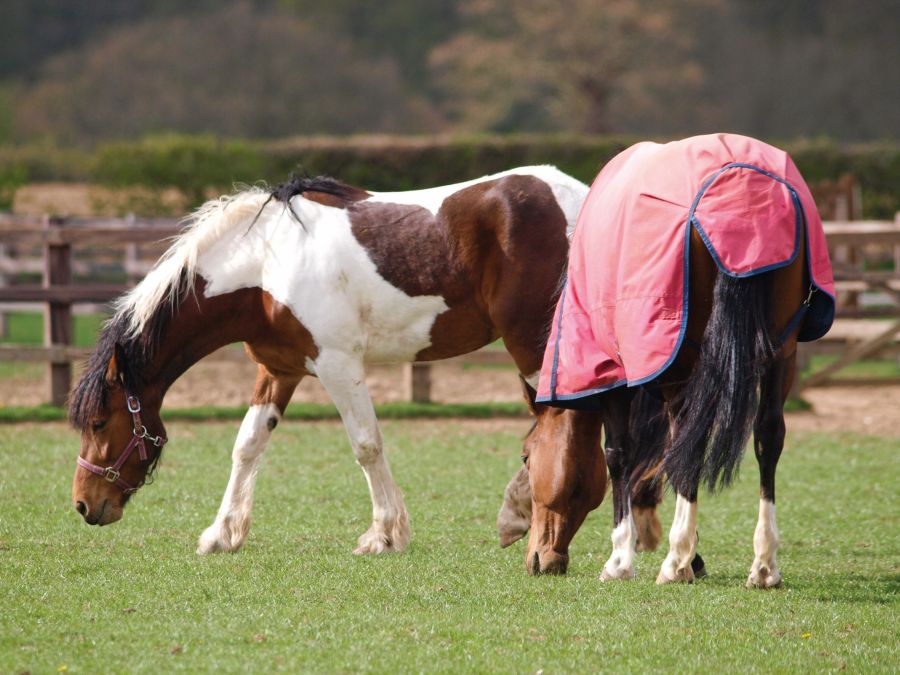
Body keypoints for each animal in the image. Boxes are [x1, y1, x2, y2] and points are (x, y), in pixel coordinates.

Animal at [70, 165, 592, 556]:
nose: (82, 505)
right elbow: (248, 444)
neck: (265, 263)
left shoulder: (339, 366)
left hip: (534, 344)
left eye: (98, 422)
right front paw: (222, 534)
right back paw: (521, 514)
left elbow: (366, 445)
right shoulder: (279, 370)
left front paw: (384, 535)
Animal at [520, 136, 836, 588]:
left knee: (690, 442)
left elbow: (620, 454)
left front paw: (622, 558)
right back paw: (763, 565)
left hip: (683, 361)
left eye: (526, 457)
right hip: (783, 352)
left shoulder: (613, 371)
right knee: (767, 436)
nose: (537, 558)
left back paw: (676, 561)